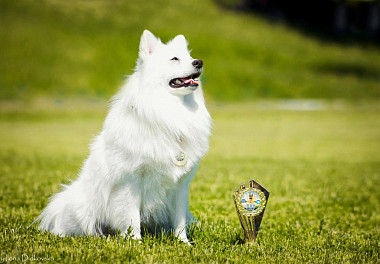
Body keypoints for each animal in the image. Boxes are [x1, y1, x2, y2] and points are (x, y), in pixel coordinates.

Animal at [36, 29, 212, 244]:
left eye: (189, 57)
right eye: (174, 59)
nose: (199, 62)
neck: (167, 114)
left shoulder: (180, 186)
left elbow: (179, 220)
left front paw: (183, 243)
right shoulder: (130, 181)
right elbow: (131, 218)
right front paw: (135, 243)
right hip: (83, 210)